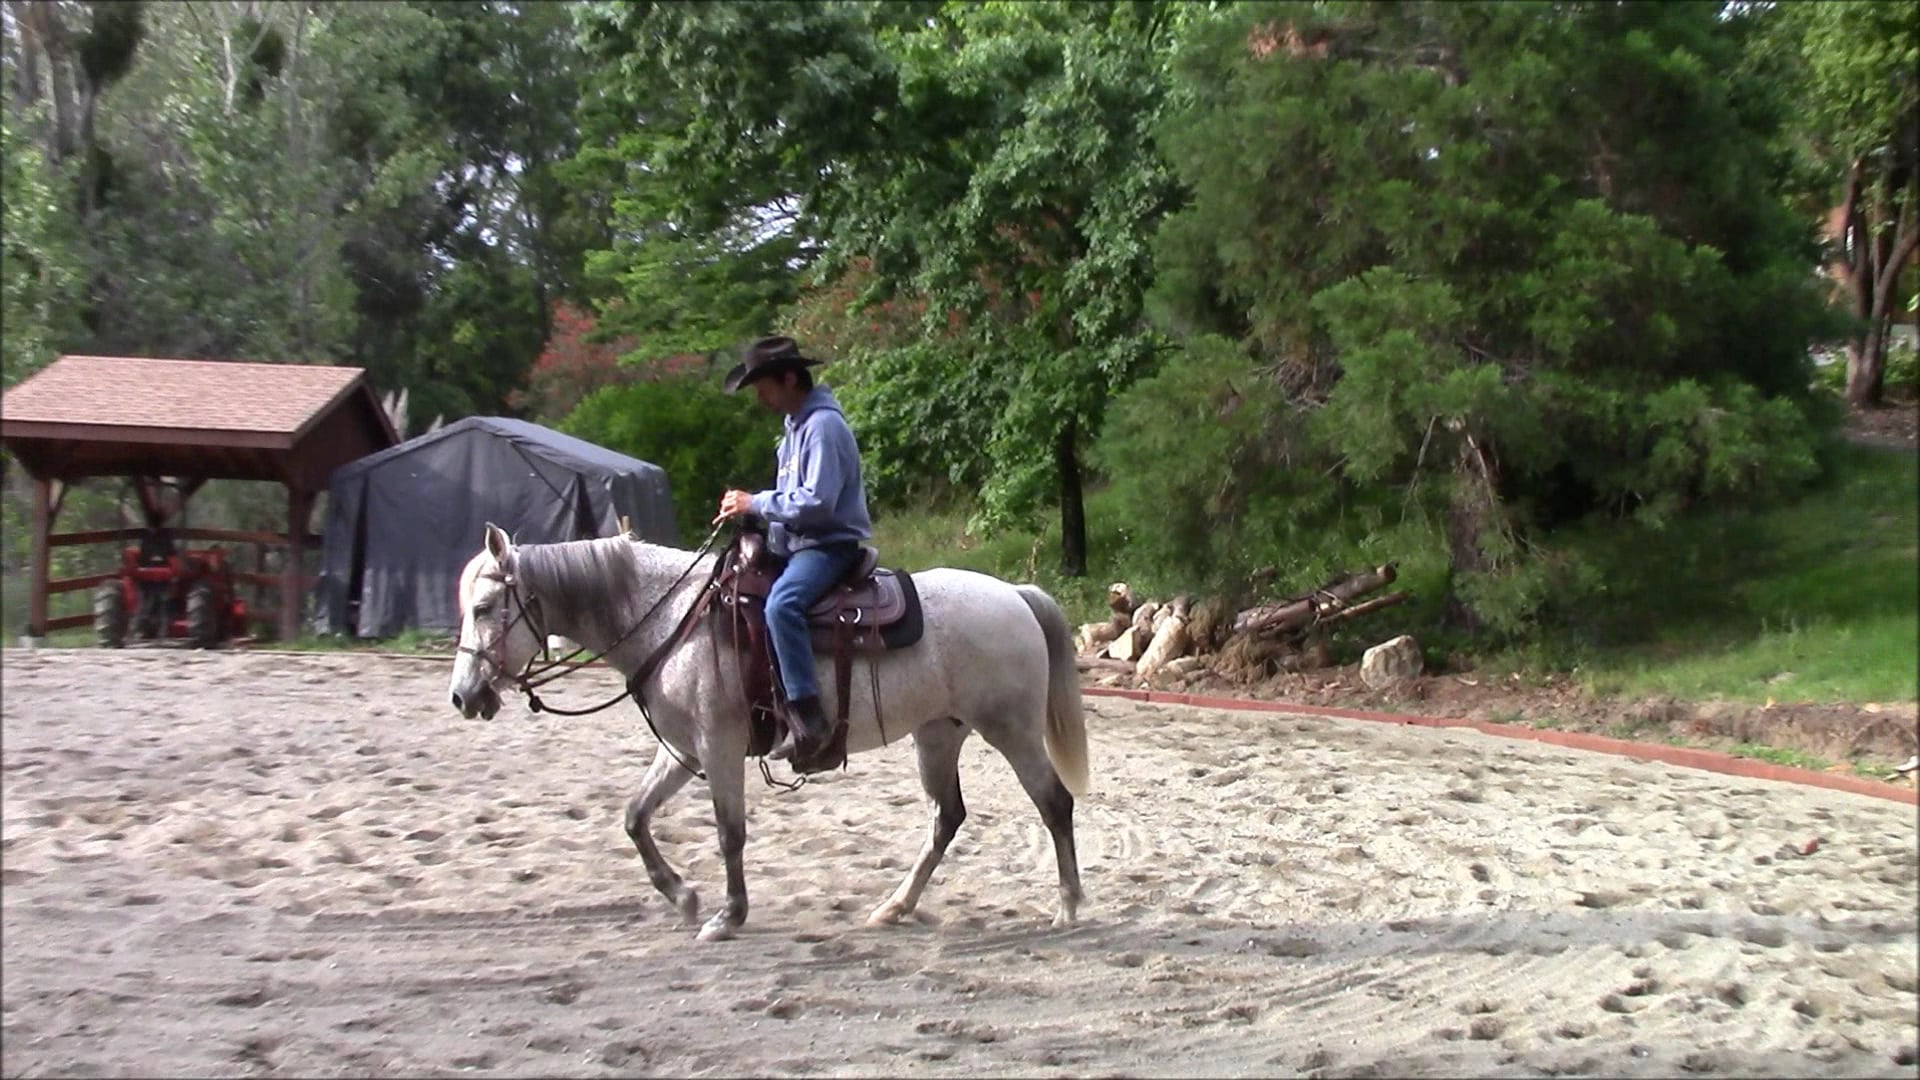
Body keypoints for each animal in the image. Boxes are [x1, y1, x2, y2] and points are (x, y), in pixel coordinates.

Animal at [445, 523, 1091, 942]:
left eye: (484, 608)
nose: (462, 696)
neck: (672, 618)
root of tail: (1016, 595)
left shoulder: (718, 746)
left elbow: (729, 833)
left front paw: (727, 915)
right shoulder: (681, 749)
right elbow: (634, 816)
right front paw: (683, 896)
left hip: (1011, 729)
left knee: (1053, 803)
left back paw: (1067, 908)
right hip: (938, 733)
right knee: (946, 817)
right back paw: (895, 906)